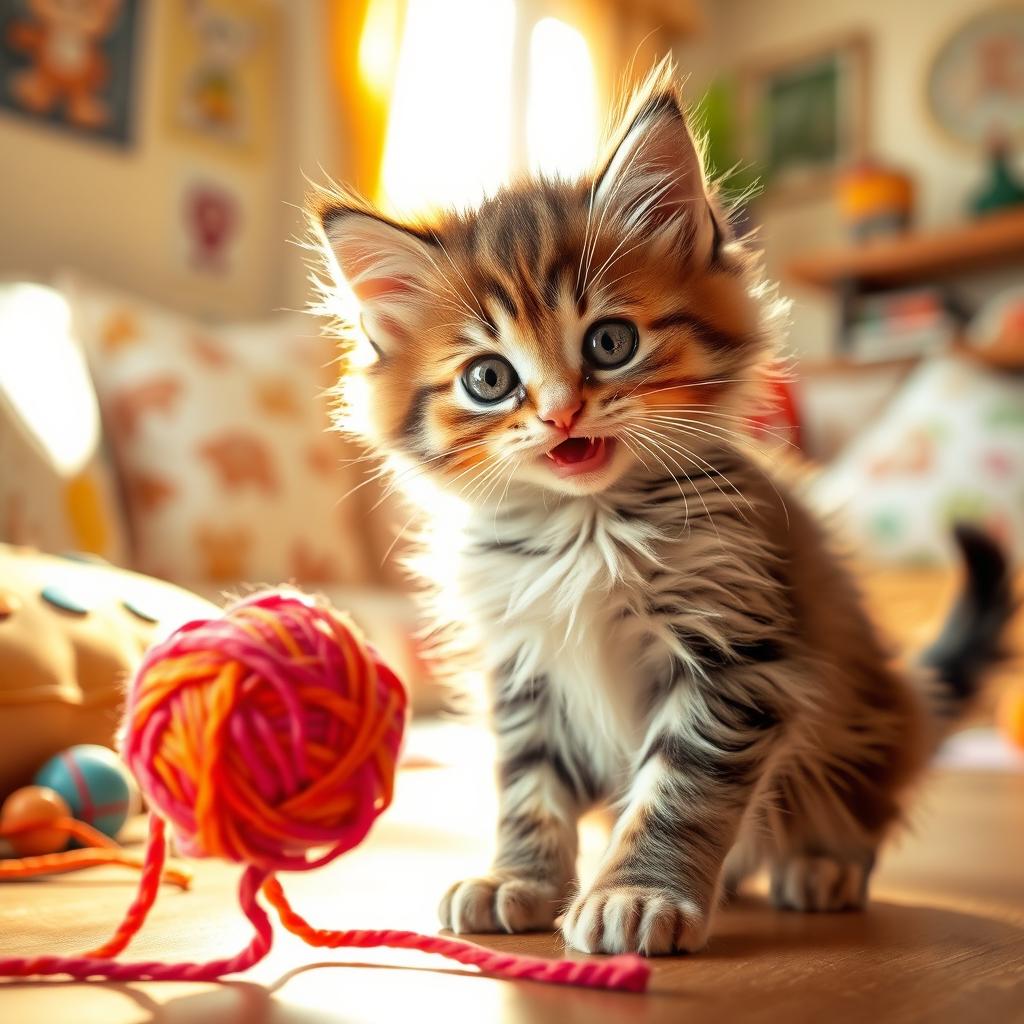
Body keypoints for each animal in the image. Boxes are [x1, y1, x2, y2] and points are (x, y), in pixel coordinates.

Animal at [307, 64, 1011, 954]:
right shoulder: (523, 670)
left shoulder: (733, 653)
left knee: (855, 810)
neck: (583, 528)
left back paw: (821, 866)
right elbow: (528, 788)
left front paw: (637, 893)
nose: (561, 414)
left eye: (610, 343)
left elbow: (681, 788)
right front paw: (518, 880)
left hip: (863, 719)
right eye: (489, 379)